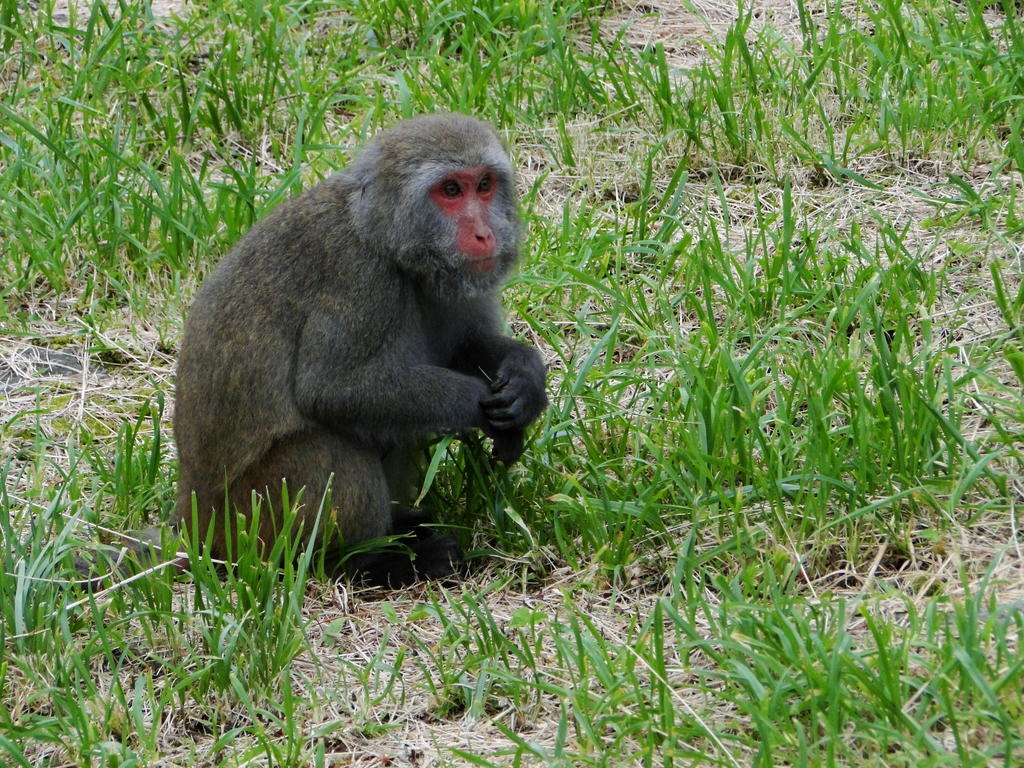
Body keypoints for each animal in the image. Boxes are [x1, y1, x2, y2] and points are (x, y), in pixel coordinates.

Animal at [172, 111, 548, 585]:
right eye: (450, 190)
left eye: (484, 185)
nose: (484, 234)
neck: (385, 240)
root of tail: (192, 526)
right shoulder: (360, 280)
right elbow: (332, 390)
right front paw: (480, 406)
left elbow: (464, 348)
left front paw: (525, 378)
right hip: (247, 520)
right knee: (327, 447)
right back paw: (364, 563)